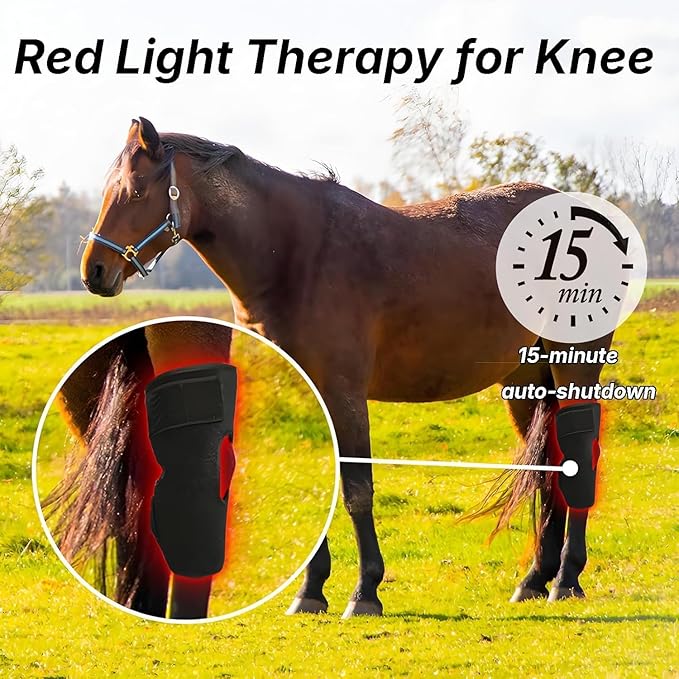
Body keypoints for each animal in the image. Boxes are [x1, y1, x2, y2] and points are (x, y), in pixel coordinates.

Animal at [75, 117, 611, 617]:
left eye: (135, 191)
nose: (94, 270)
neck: (295, 255)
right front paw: (310, 592)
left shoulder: (344, 392)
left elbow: (356, 490)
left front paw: (364, 592)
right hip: (524, 380)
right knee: (548, 468)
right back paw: (535, 579)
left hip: (574, 370)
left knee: (578, 461)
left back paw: (566, 580)